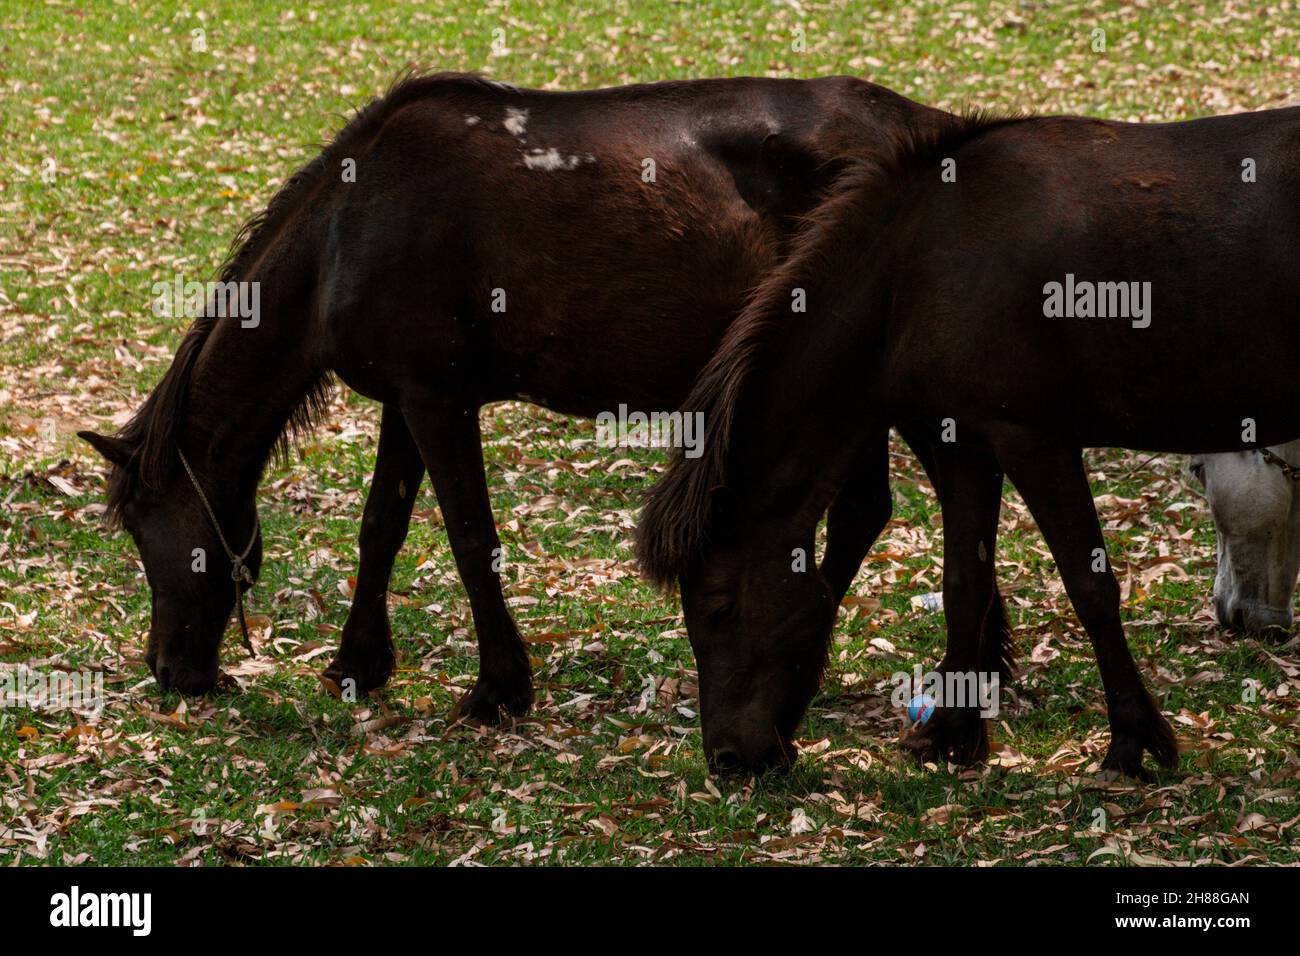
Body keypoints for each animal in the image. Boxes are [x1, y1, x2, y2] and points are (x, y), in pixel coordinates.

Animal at [78, 71, 956, 719]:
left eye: (143, 529)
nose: (169, 669)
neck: (347, 228)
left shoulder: (439, 402)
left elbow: (470, 539)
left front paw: (498, 688)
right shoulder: (405, 401)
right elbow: (380, 529)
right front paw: (359, 663)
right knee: (865, 512)